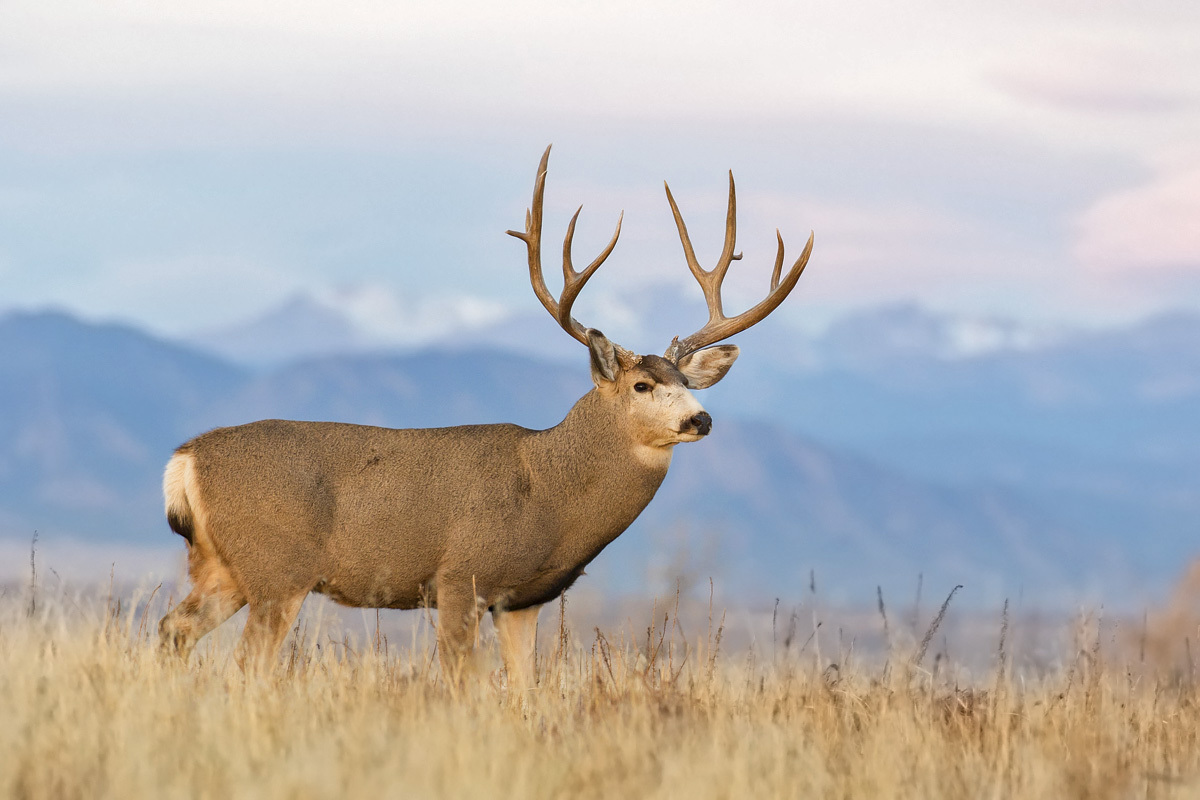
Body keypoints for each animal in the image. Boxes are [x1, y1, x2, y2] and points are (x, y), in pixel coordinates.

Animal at [158, 146, 814, 685]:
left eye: (687, 382)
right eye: (642, 384)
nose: (701, 420)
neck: (549, 489)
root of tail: (186, 457)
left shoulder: (521, 601)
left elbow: (526, 692)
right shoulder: (458, 578)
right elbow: (461, 684)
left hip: (224, 567)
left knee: (172, 631)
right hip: (278, 568)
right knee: (247, 663)